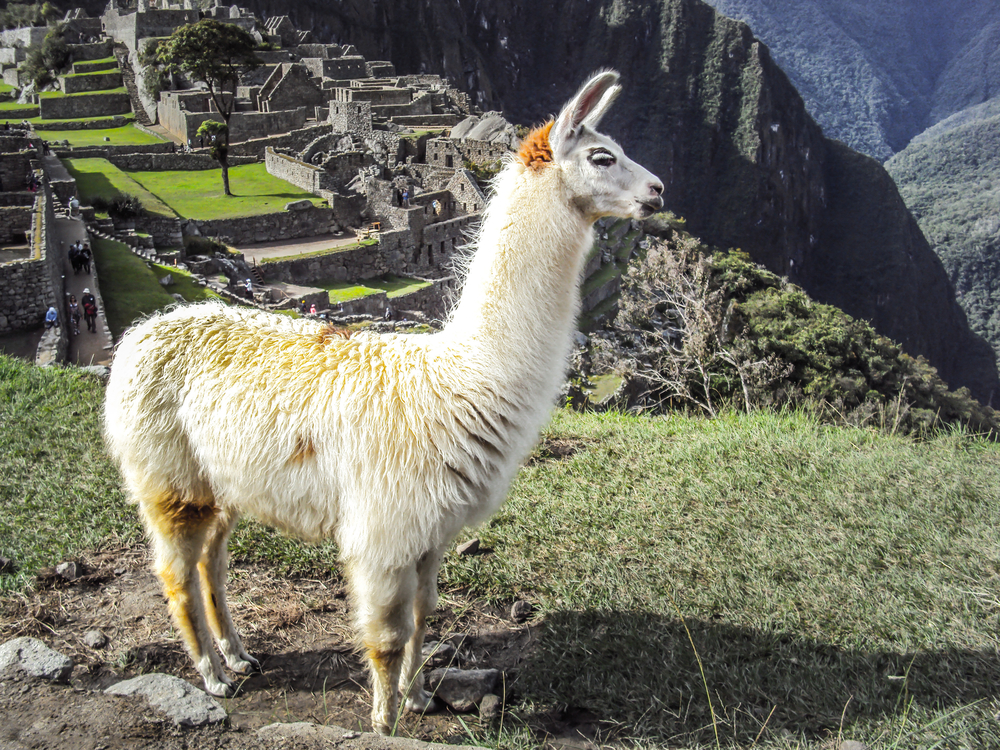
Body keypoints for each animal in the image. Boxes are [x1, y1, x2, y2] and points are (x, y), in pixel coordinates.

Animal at [103, 70, 664, 735]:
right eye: (602, 156)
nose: (658, 190)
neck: (461, 379)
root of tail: (141, 333)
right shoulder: (384, 526)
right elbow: (387, 635)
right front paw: (384, 718)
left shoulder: (432, 531)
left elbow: (424, 616)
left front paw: (418, 697)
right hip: (167, 476)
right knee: (176, 574)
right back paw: (212, 675)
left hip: (220, 480)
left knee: (211, 561)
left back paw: (238, 655)